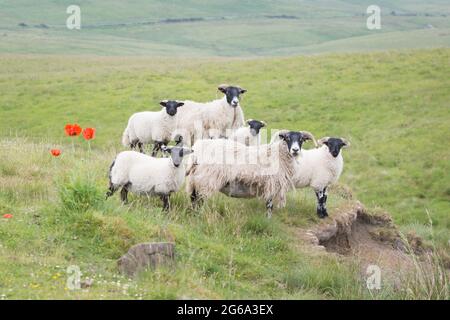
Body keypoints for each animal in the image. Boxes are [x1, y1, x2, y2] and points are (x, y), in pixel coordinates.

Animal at [185, 130, 316, 218]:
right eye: (287, 138)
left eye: (301, 139)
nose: (295, 150)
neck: (278, 155)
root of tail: (197, 150)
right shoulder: (271, 184)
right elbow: (269, 205)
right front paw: (268, 219)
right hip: (206, 179)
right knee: (199, 199)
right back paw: (199, 215)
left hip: (195, 179)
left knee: (193, 198)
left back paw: (194, 214)